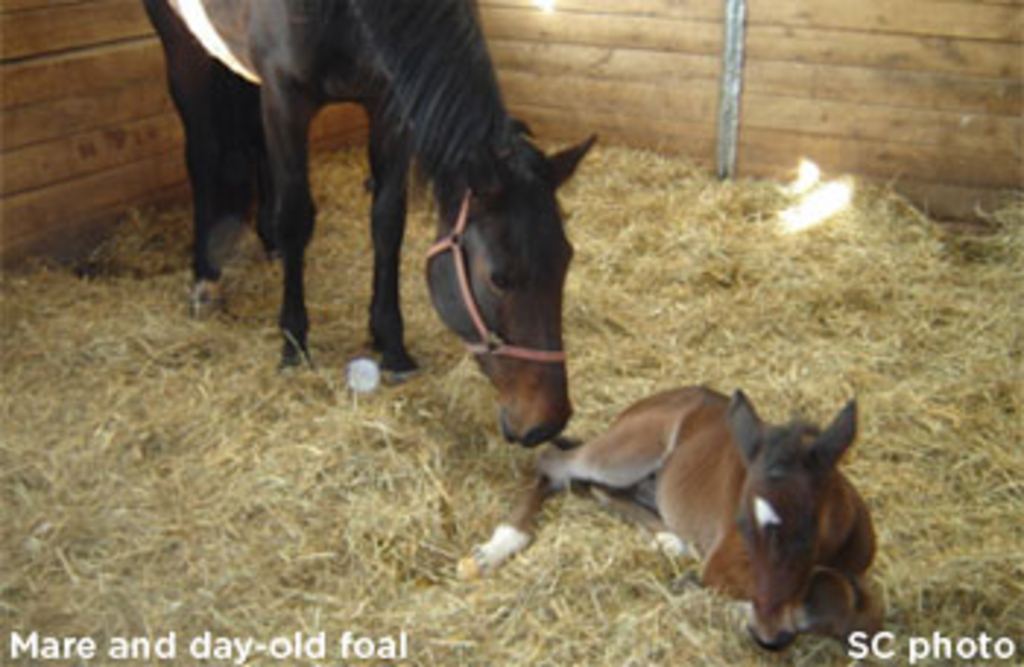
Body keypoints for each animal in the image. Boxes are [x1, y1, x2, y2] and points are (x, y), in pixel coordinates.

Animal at [143, 0, 596, 446]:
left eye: (566, 262)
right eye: (499, 278)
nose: (548, 423)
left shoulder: (387, 103)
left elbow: (387, 223)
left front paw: (391, 344)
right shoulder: (286, 98)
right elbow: (296, 218)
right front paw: (294, 342)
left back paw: (268, 243)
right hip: (184, 47)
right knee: (202, 151)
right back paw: (205, 277)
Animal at [458, 387, 881, 650]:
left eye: (809, 530)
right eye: (741, 525)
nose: (771, 637)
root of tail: (635, 408)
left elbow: (859, 611)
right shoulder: (723, 565)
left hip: (646, 480)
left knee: (594, 487)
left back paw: (668, 540)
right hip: (627, 451)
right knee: (553, 462)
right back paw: (496, 548)